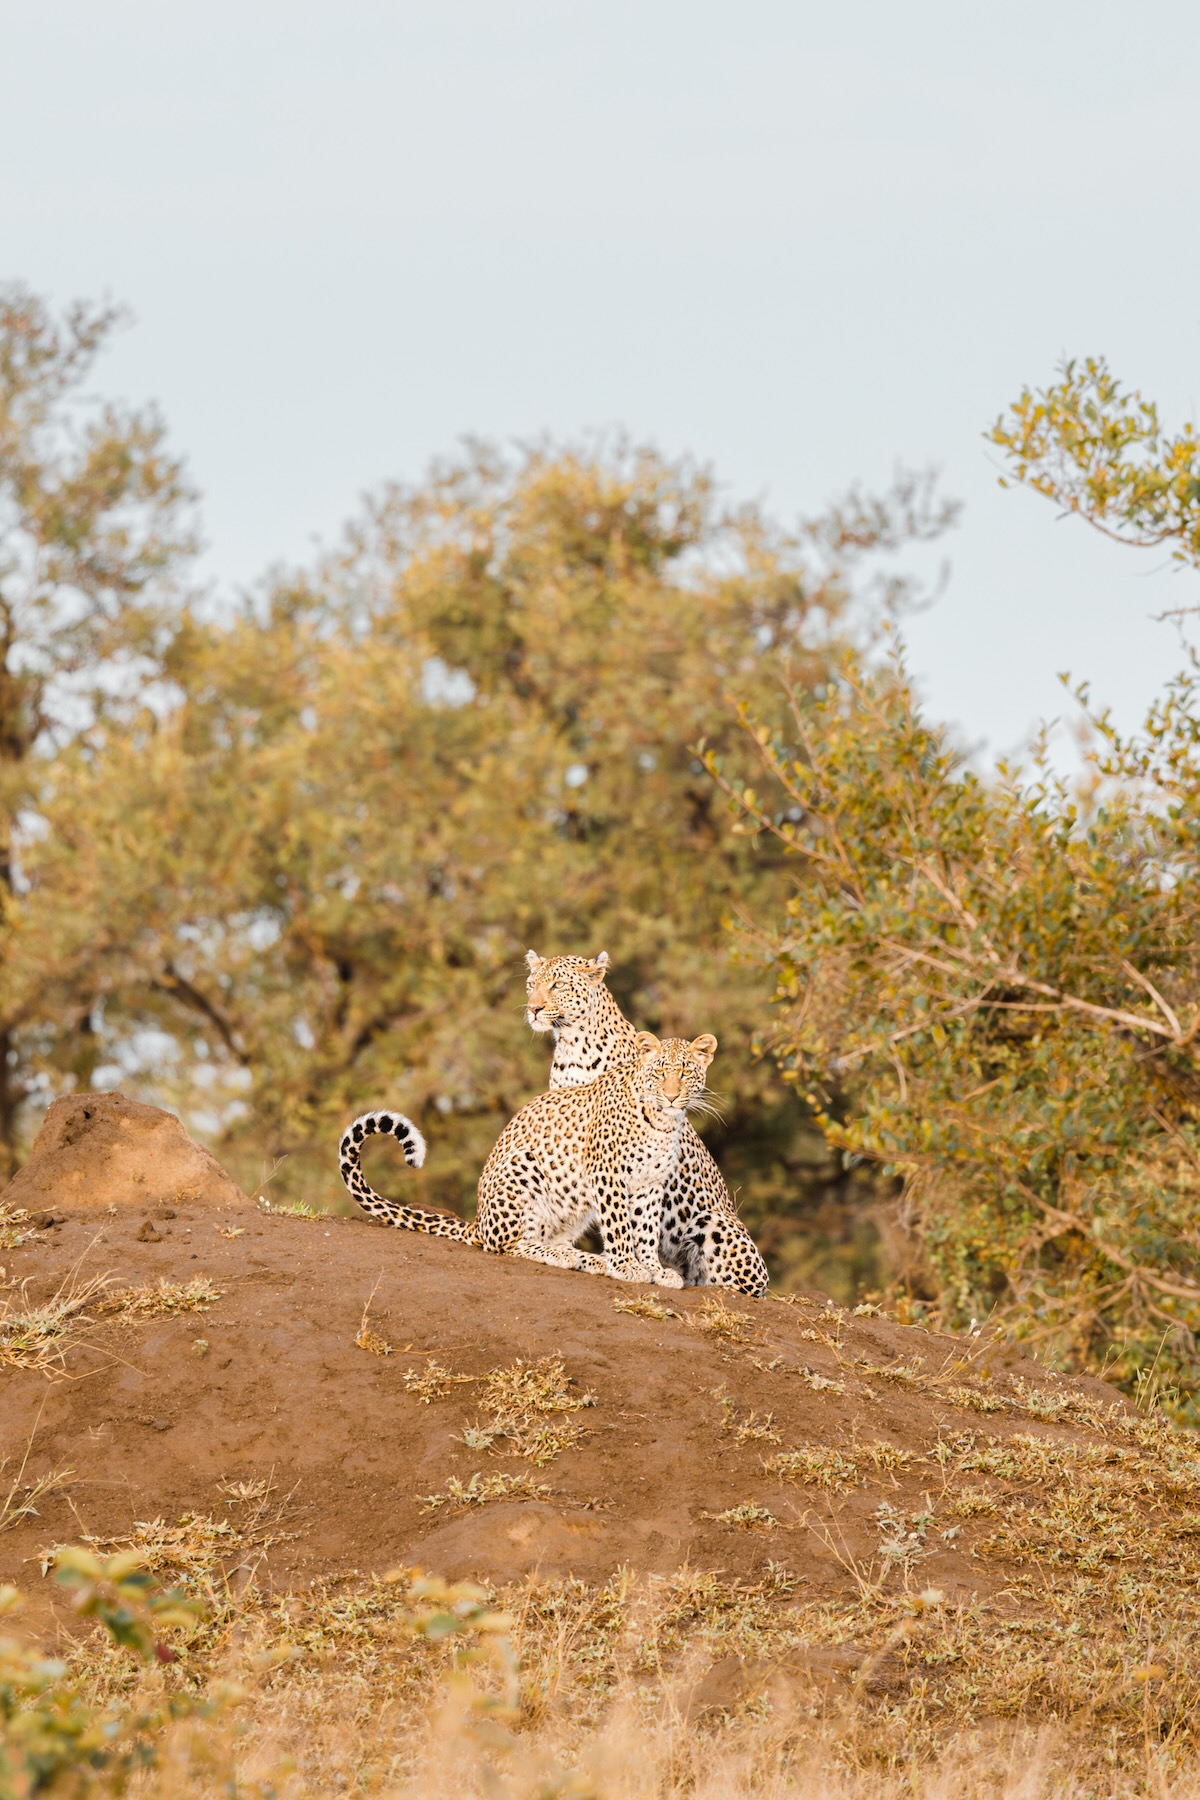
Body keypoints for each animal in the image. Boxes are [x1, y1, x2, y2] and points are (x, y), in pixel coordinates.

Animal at [336, 1036, 723, 1288]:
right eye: (660, 1072)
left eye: (685, 1073)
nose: (671, 1096)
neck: (662, 1121)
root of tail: (478, 1222)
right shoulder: (608, 1175)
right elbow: (620, 1226)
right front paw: (628, 1266)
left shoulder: (650, 1182)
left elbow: (645, 1229)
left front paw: (654, 1269)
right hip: (525, 1166)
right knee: (508, 1244)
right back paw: (567, 1257)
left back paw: (587, 1259)